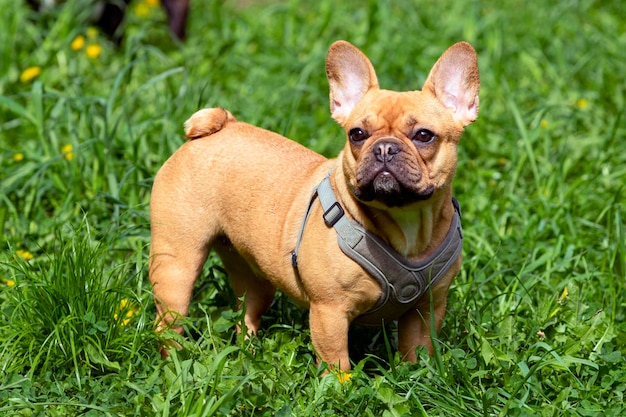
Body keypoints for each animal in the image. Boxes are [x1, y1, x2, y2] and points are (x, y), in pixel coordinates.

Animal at [149, 40, 480, 368]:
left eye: (424, 135)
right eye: (357, 134)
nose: (385, 148)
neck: (403, 218)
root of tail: (217, 129)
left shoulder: (426, 310)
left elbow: (417, 353)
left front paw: (417, 375)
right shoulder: (329, 312)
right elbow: (337, 364)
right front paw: (341, 384)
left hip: (252, 273)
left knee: (247, 311)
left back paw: (249, 353)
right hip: (177, 266)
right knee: (168, 323)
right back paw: (174, 363)